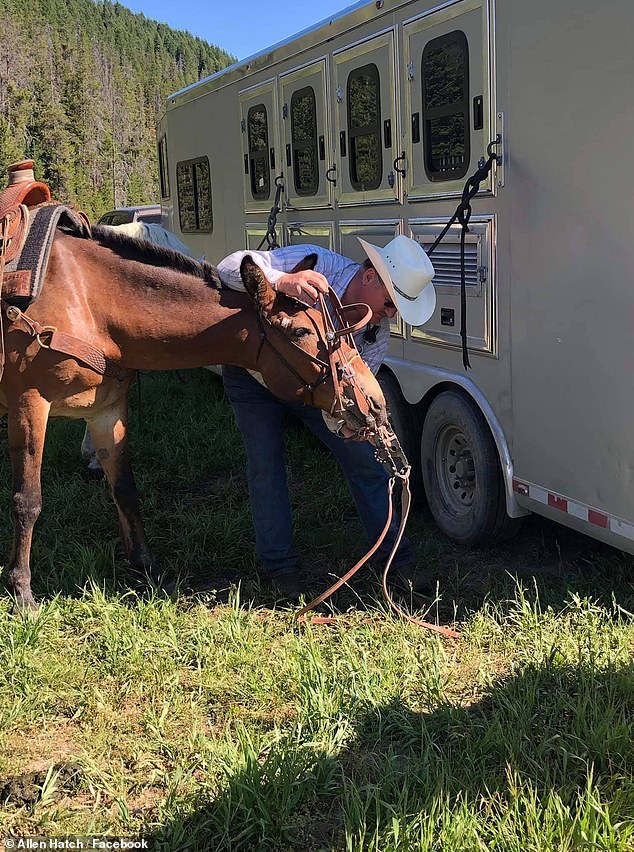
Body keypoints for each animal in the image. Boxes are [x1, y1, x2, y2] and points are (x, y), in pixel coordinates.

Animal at [0, 225, 387, 611]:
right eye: (302, 332)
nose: (375, 402)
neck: (89, 303)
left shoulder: (106, 410)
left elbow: (124, 489)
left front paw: (147, 567)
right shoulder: (29, 404)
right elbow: (27, 500)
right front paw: (21, 591)